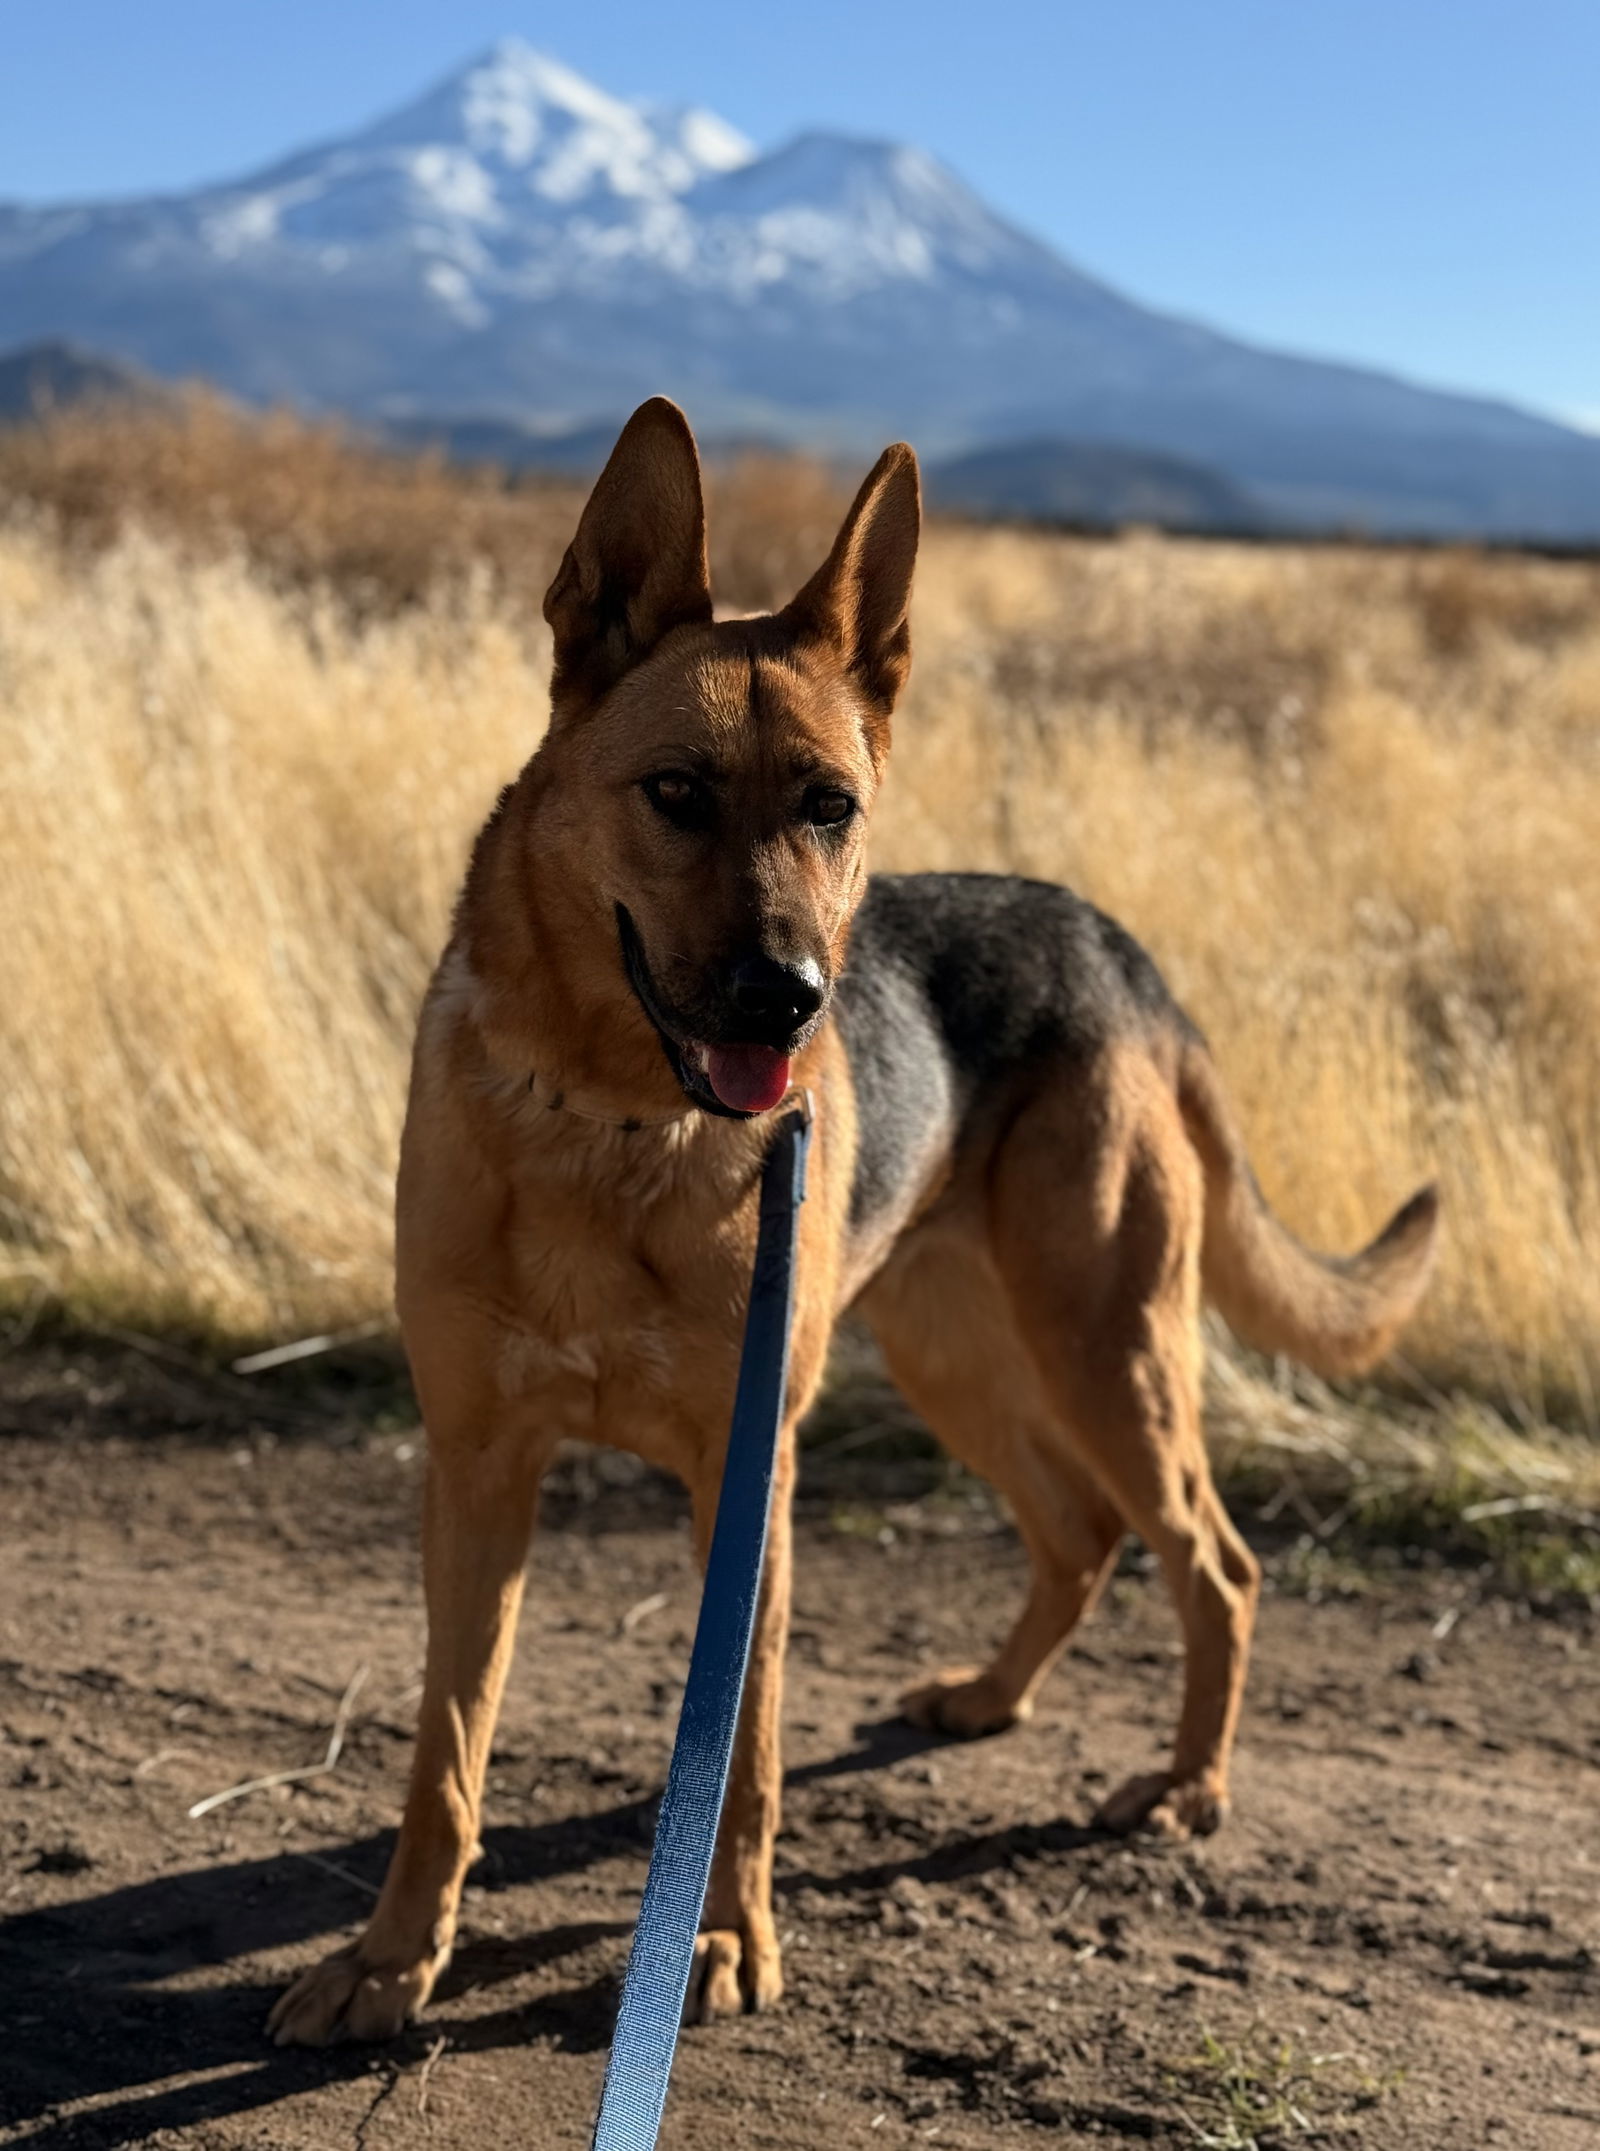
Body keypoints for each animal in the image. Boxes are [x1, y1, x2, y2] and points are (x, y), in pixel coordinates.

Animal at [268, 395, 1445, 2039]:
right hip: (963, 1354)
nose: (789, 1000)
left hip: (1106, 1348)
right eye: (676, 793)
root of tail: (1116, 942)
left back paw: (1184, 1788)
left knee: (1215, 1560)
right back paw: (992, 1700)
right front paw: (390, 1960)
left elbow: (743, 1756)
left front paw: (726, 1939)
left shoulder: (745, 1484)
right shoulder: (479, 1469)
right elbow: (446, 1755)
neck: (616, 1127)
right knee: (1080, 1531)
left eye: (832, 808)